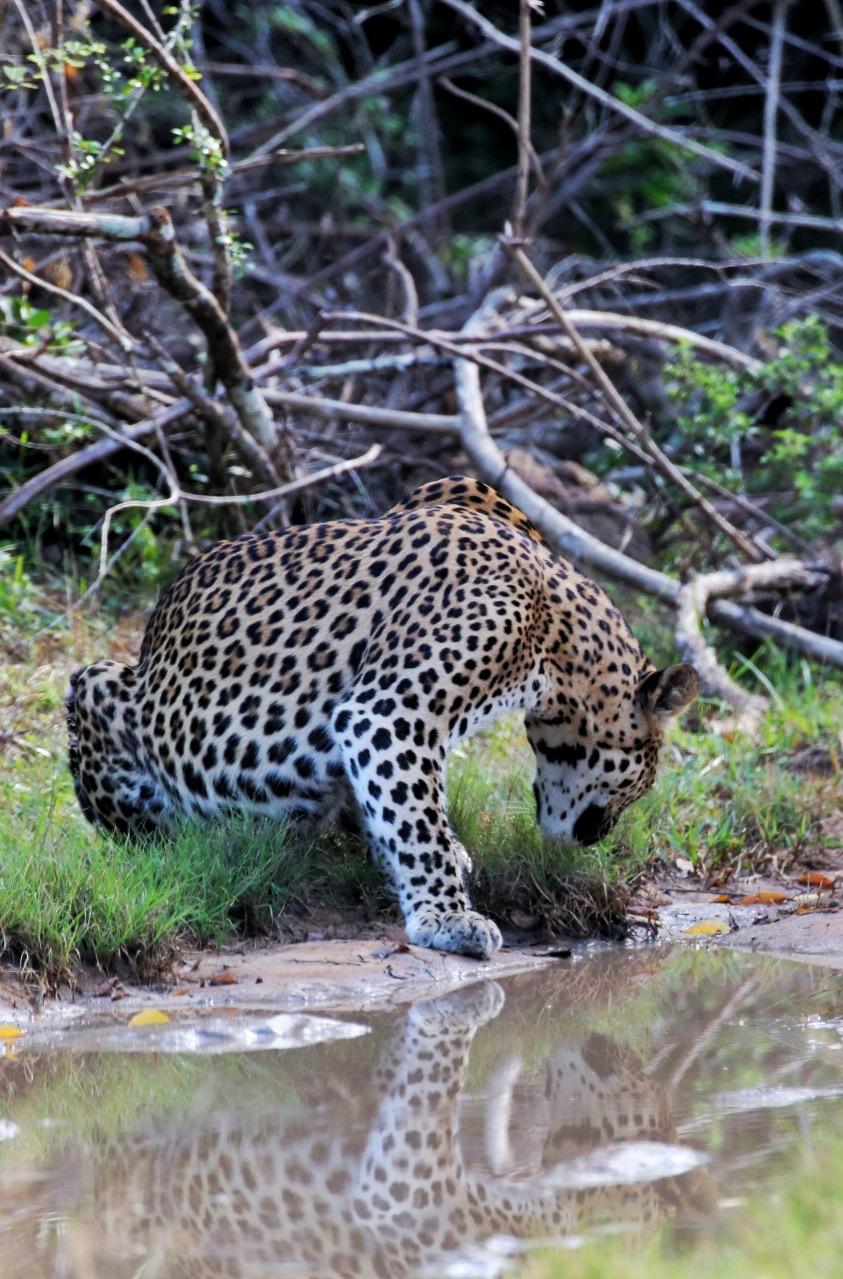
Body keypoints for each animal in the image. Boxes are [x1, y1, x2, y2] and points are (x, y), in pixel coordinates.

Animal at [67, 475, 699, 960]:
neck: (558, 637)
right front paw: (448, 919)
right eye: (641, 782)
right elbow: (417, 822)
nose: (600, 837)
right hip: (94, 686)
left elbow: (396, 804)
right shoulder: (389, 710)